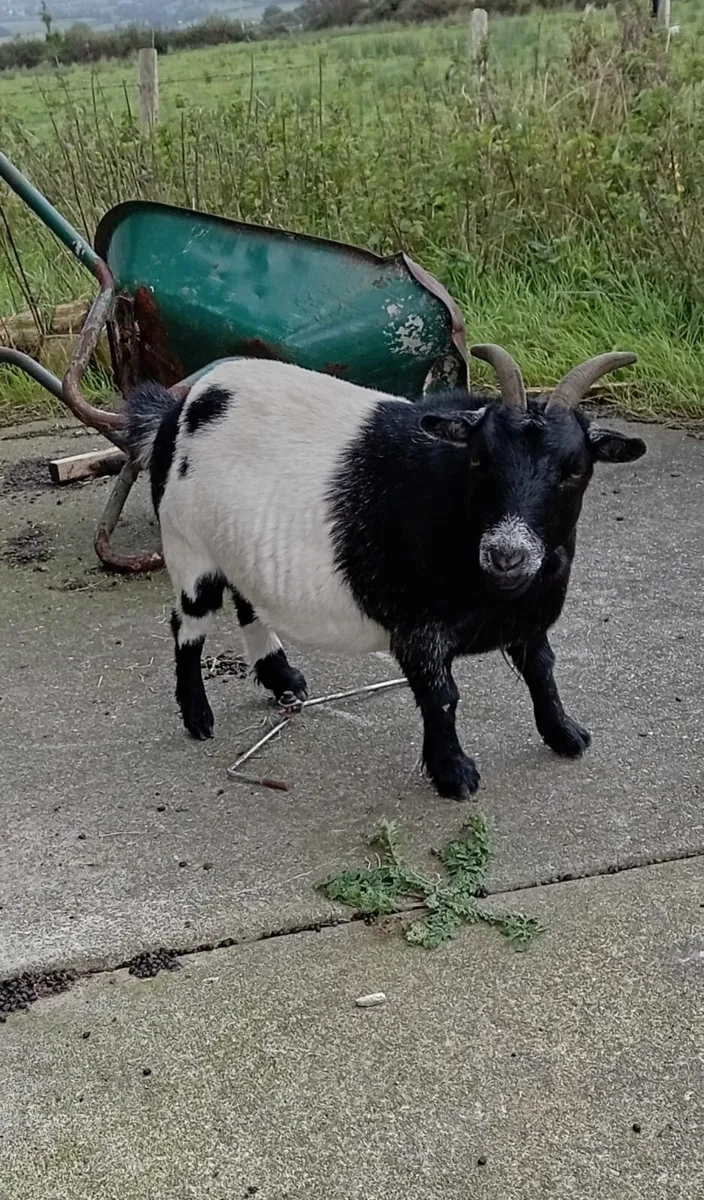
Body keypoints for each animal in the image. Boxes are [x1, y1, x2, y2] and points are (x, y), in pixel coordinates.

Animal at [125, 344, 646, 800]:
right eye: (480, 459)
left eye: (575, 469)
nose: (506, 555)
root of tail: (178, 409)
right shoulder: (418, 628)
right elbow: (441, 695)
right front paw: (454, 774)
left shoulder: (527, 618)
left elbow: (542, 670)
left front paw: (566, 735)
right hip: (189, 547)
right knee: (188, 625)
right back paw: (198, 716)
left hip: (238, 546)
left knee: (248, 601)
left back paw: (282, 677)